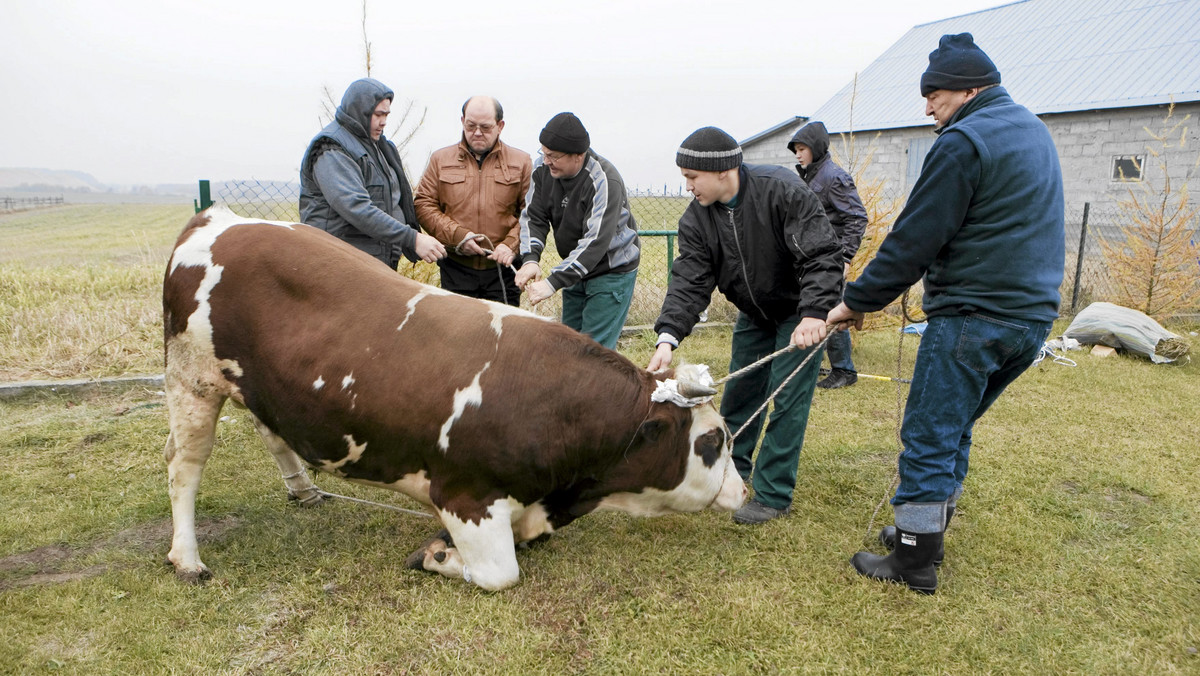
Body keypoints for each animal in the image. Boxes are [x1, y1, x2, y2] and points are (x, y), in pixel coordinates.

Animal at [159, 207, 739, 593]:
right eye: (714, 441)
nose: (742, 490)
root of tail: (218, 217)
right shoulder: (467, 495)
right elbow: (499, 574)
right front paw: (435, 555)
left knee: (268, 429)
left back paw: (302, 489)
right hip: (191, 380)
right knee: (184, 465)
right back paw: (187, 558)